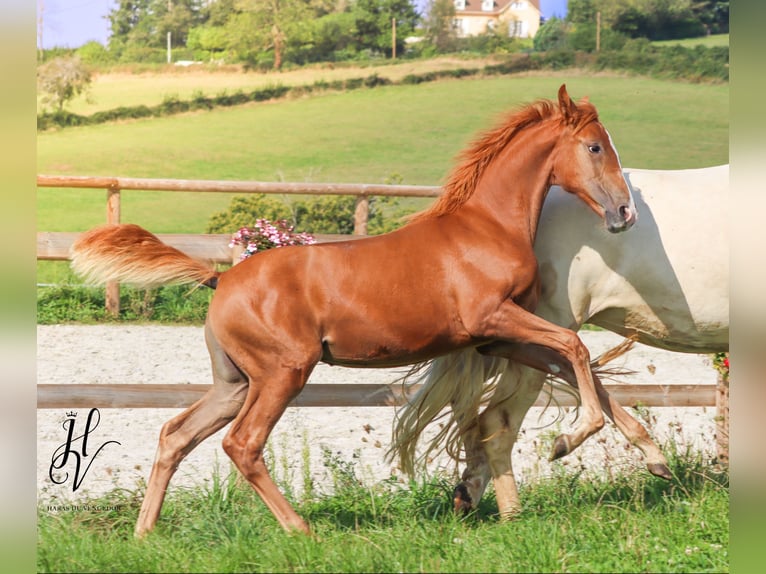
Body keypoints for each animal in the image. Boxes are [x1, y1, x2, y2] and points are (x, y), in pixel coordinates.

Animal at [72, 83, 640, 536]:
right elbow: (574, 345)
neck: (486, 228)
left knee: (176, 435)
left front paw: (640, 452)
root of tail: (222, 278)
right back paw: (300, 529)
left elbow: (573, 361)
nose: (624, 213)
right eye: (594, 146)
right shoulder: (492, 318)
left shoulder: (495, 338)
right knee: (243, 444)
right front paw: (567, 441)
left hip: (234, 382)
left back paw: (145, 532)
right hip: (282, 372)